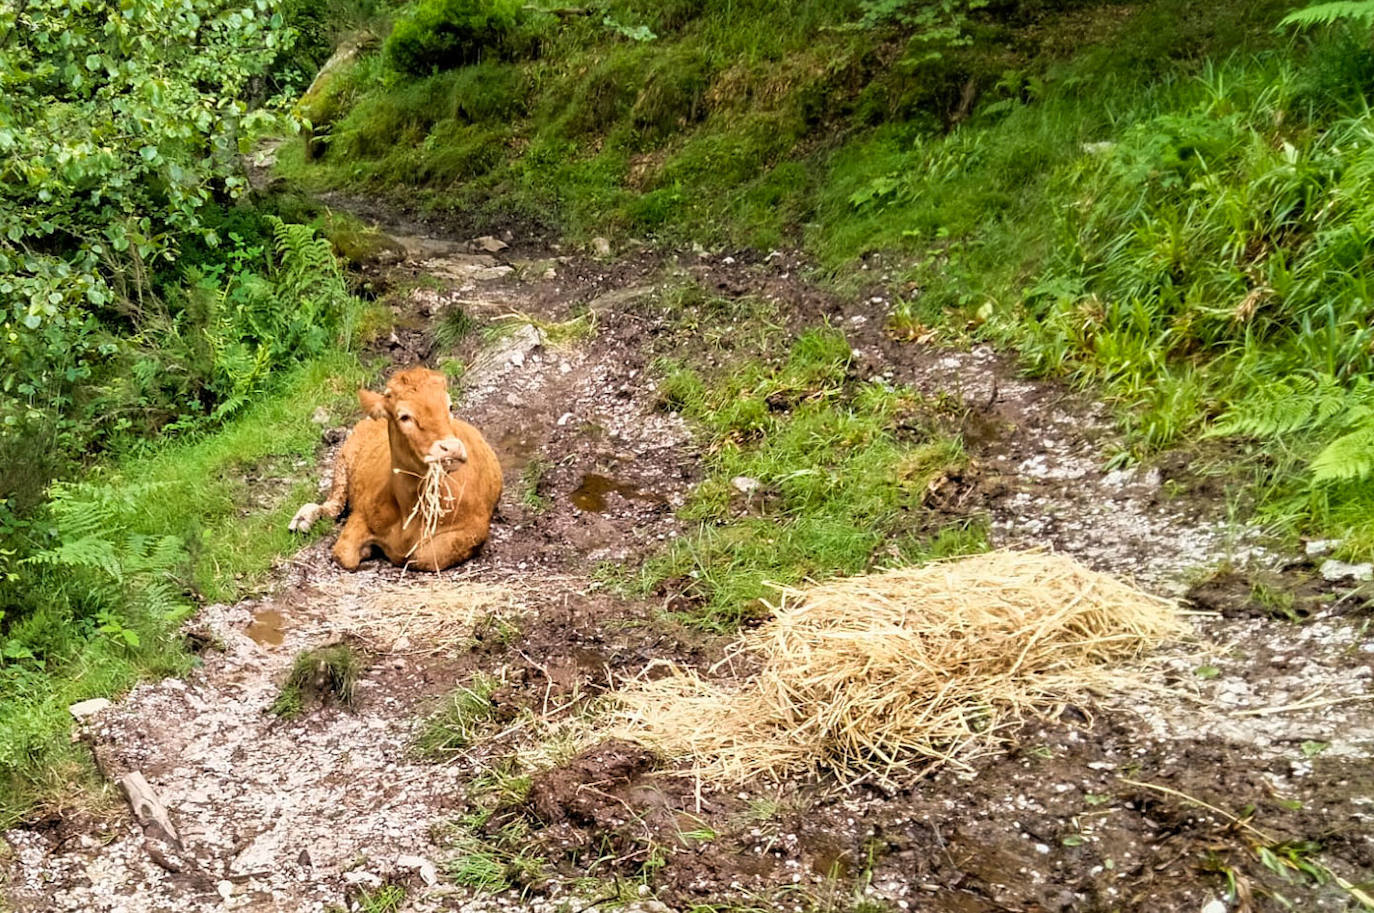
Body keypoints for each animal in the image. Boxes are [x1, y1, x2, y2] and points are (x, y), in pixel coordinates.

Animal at [289, 365, 505, 566]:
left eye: (449, 407)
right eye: (404, 416)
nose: (451, 448)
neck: (409, 510)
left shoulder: (474, 528)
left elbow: (421, 555)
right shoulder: (361, 513)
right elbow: (344, 554)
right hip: (344, 458)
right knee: (333, 504)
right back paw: (303, 519)